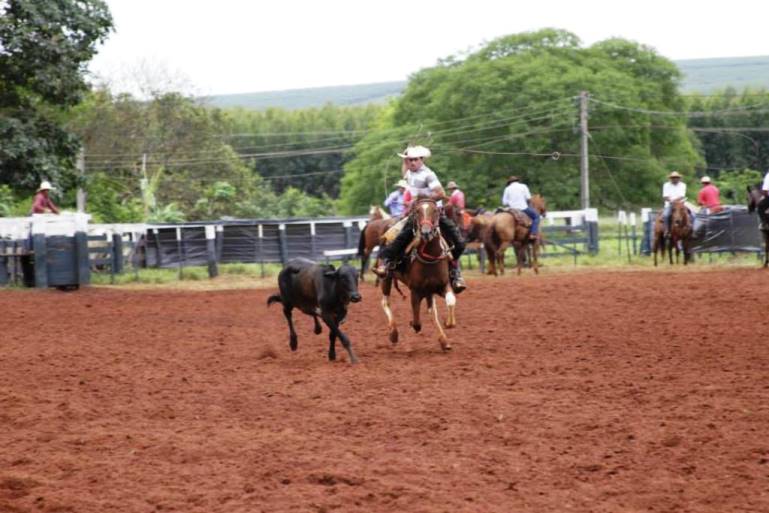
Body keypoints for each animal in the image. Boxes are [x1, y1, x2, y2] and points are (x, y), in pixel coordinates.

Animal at [380, 197, 452, 352]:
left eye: (435, 211)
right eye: (417, 212)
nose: (426, 232)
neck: (430, 258)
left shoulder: (441, 285)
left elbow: (449, 302)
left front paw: (448, 329)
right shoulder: (415, 291)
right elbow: (417, 321)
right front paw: (412, 323)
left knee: (432, 311)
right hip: (387, 278)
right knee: (385, 302)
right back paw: (393, 333)